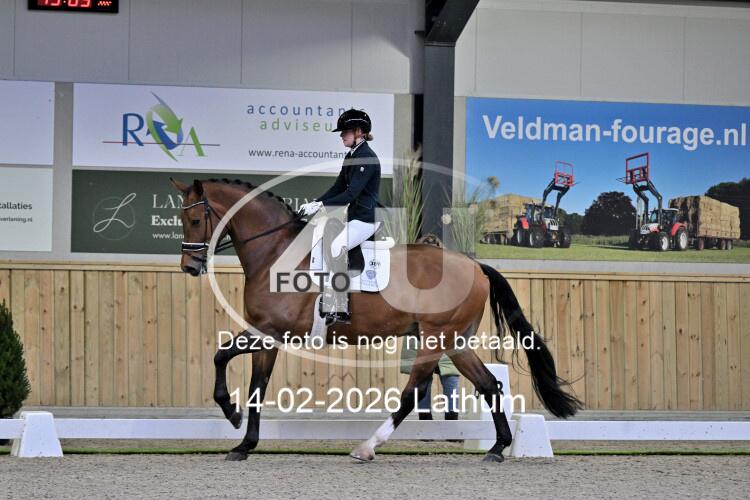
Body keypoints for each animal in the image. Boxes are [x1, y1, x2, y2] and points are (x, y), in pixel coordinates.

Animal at [171, 177, 582, 462]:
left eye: (194, 218)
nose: (190, 266)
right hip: (456, 341)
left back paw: (368, 447)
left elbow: (226, 361)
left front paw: (234, 419)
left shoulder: (270, 332)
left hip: (435, 337)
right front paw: (242, 439)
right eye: (181, 218)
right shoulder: (265, 335)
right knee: (489, 386)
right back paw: (497, 449)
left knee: (414, 391)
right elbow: (248, 380)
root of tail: (474, 266)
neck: (275, 252)